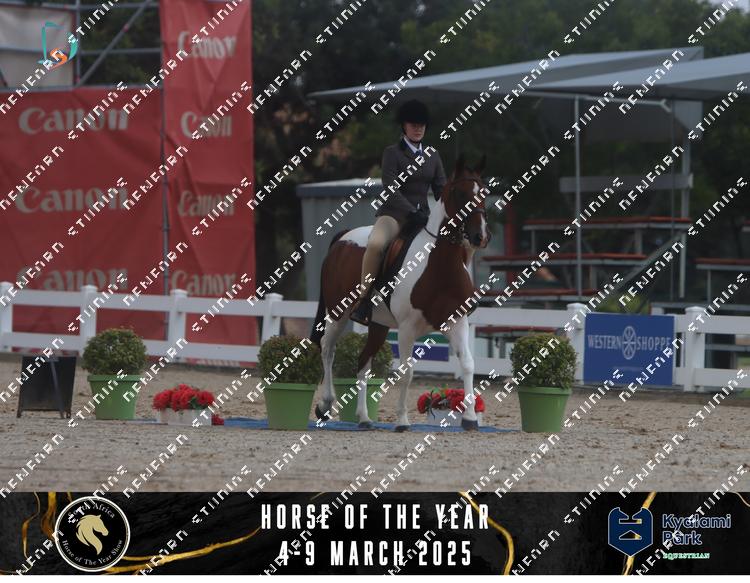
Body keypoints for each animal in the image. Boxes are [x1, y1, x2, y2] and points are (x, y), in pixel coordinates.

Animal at [310, 154, 491, 431]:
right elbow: (407, 373)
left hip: (378, 324)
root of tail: (343, 237)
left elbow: (468, 364)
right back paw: (325, 405)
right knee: (328, 350)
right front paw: (403, 420)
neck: (439, 265)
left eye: (484, 192)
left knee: (363, 362)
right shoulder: (407, 328)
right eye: (460, 193)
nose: (480, 236)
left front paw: (470, 418)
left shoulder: (457, 321)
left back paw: (364, 418)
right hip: (338, 313)